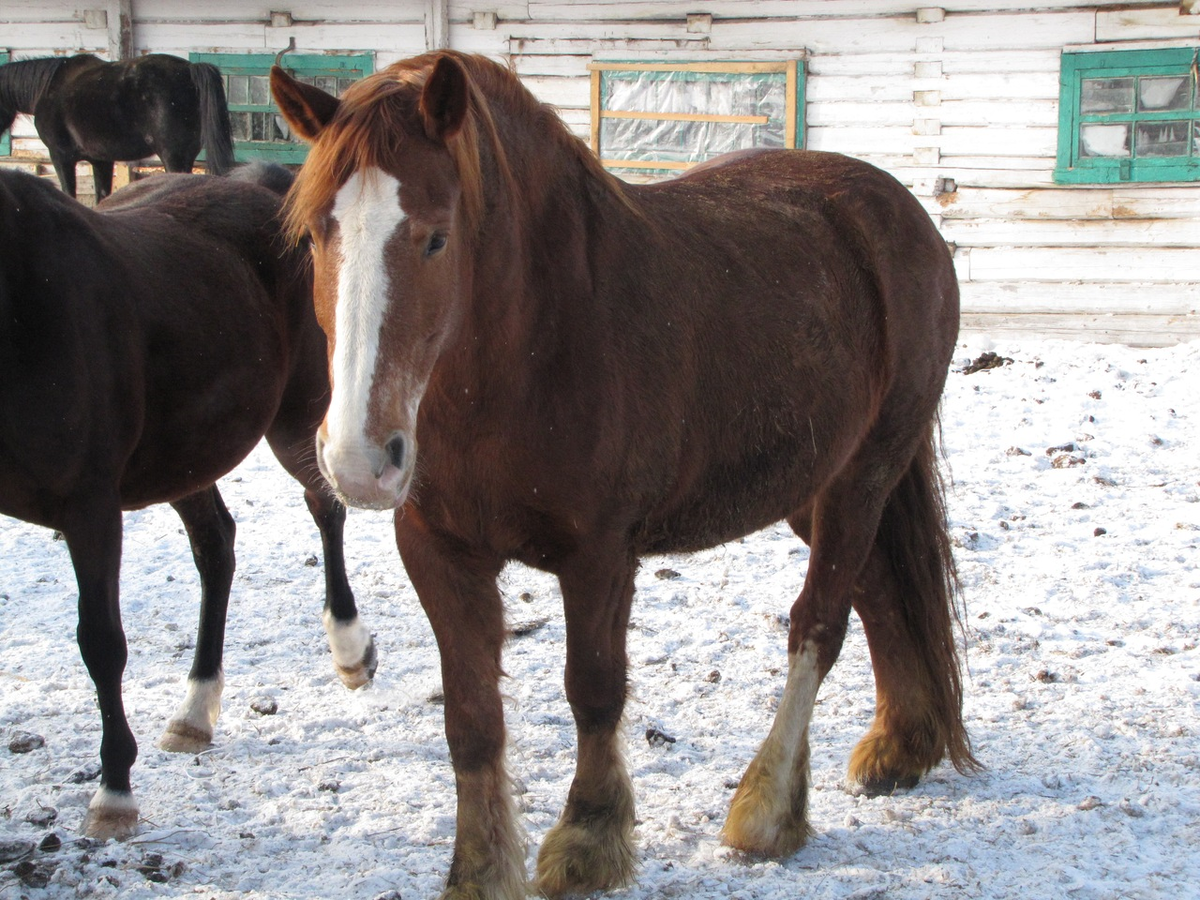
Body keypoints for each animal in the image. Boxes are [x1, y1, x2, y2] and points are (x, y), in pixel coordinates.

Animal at [0, 164, 376, 844]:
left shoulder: (90, 507)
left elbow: (101, 643)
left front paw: (114, 791)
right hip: (186, 455)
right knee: (216, 545)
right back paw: (195, 711)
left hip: (297, 416)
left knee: (324, 508)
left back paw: (350, 650)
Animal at [270, 51, 974, 900]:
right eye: (316, 234)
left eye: (436, 239)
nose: (359, 460)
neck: (535, 347)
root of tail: (899, 213)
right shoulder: (439, 553)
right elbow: (471, 717)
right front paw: (479, 867)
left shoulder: (601, 555)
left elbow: (595, 689)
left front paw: (590, 838)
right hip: (816, 484)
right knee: (878, 591)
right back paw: (902, 745)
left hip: (864, 475)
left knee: (820, 623)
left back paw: (768, 809)